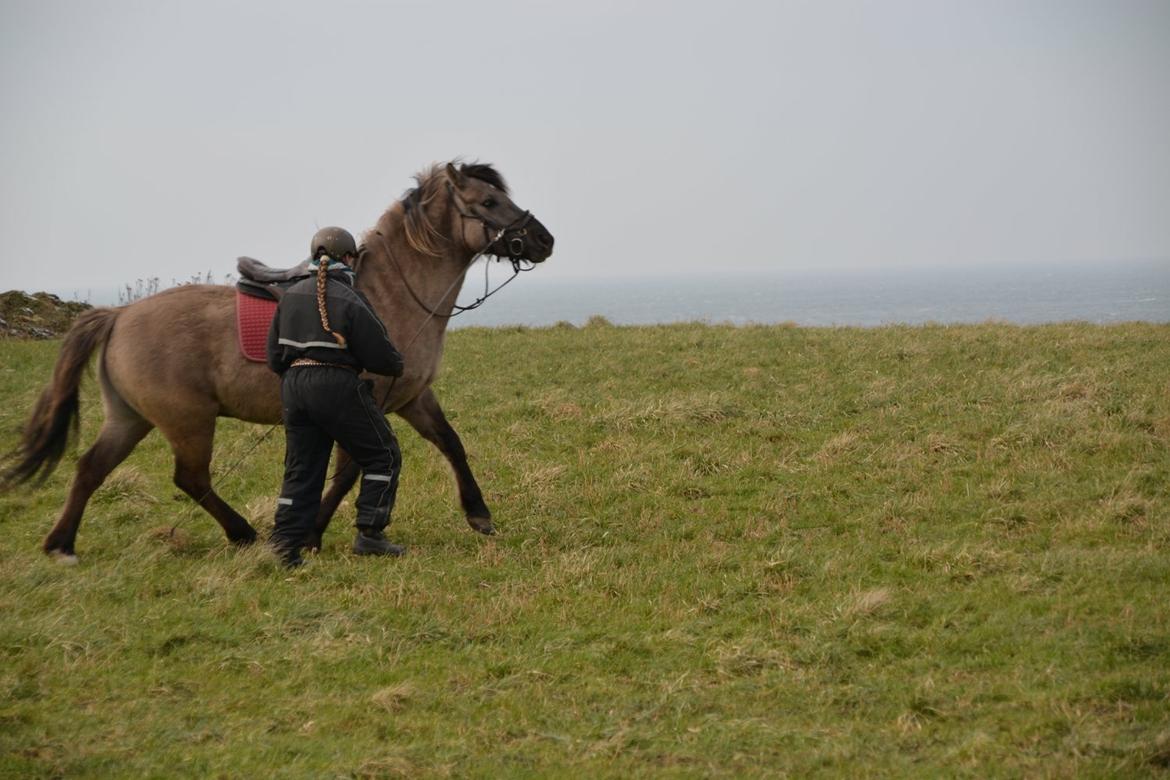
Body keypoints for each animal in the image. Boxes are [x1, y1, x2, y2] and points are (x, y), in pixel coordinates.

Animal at [1, 161, 556, 561]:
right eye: (489, 201)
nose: (544, 240)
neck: (391, 293)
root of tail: (119, 316)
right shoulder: (366, 402)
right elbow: (349, 473)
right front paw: (311, 534)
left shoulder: (411, 398)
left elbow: (451, 444)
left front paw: (479, 514)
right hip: (188, 421)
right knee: (190, 479)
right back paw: (242, 533)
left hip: (131, 418)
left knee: (91, 468)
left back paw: (62, 544)